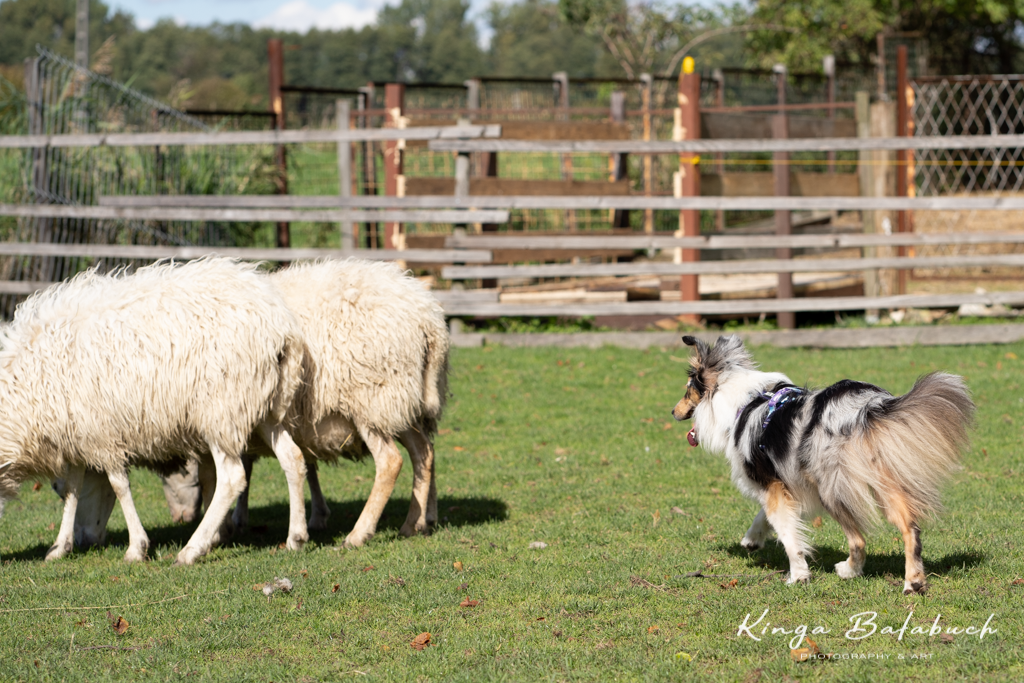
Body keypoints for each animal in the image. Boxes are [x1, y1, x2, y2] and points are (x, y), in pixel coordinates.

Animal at [0, 257, 309, 565]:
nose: (85, 540)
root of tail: (280, 324)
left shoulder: (101, 433)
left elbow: (118, 485)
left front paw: (137, 547)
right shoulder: (78, 433)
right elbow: (73, 489)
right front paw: (60, 547)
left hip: (220, 409)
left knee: (232, 478)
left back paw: (192, 549)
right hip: (263, 406)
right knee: (291, 457)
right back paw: (296, 537)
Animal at [71, 258, 449, 550]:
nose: (182, 517)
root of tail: (428, 319)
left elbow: (231, 474)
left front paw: (226, 526)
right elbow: (279, 467)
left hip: (372, 400)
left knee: (392, 461)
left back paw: (360, 533)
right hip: (404, 403)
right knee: (425, 452)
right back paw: (418, 521)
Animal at [672, 335, 974, 594]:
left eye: (687, 390)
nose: (672, 412)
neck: (746, 400)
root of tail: (863, 408)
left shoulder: (773, 484)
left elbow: (788, 536)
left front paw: (798, 575)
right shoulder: (786, 482)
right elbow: (767, 517)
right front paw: (752, 539)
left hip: (832, 487)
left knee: (858, 540)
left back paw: (848, 571)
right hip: (884, 480)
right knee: (910, 528)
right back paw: (913, 582)